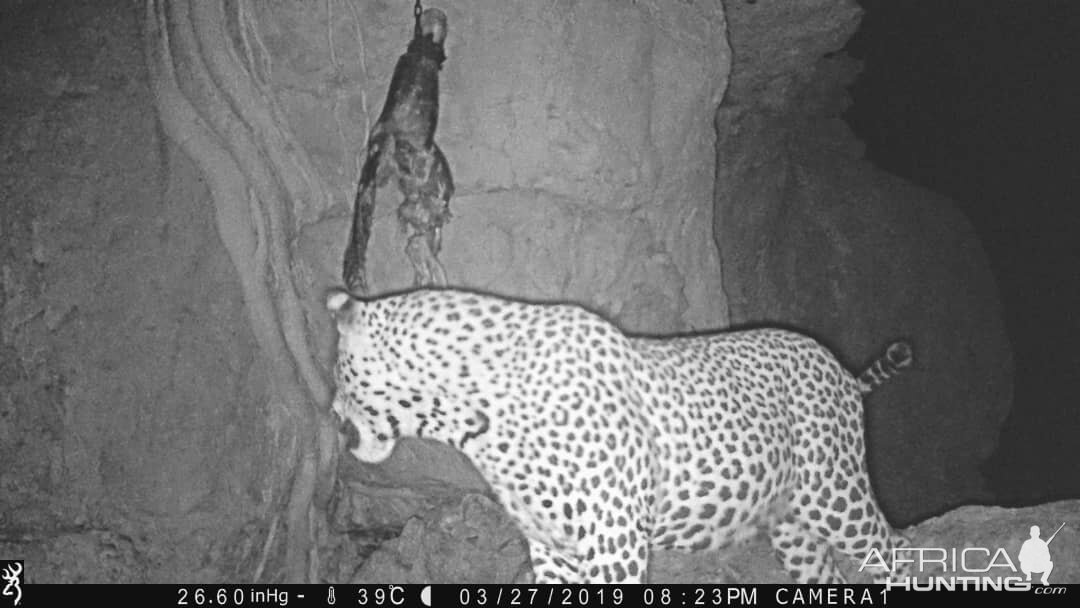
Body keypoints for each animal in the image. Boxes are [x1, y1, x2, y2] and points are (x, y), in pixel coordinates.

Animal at [326, 287, 911, 583]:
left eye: (336, 367)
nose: (330, 414)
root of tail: (838, 366)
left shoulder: (613, 538)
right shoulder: (552, 548)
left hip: (835, 495)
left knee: (891, 550)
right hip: (793, 529)